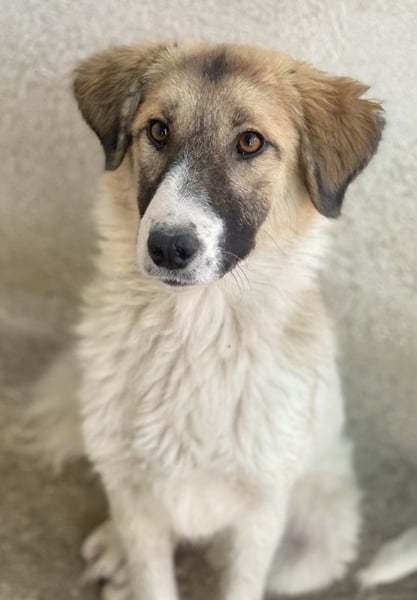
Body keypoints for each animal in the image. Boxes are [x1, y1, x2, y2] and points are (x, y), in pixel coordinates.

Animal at [30, 41, 384, 600]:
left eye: (250, 142)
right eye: (157, 130)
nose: (169, 247)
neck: (192, 335)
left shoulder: (261, 513)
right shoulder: (133, 492)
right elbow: (153, 578)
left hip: (313, 549)